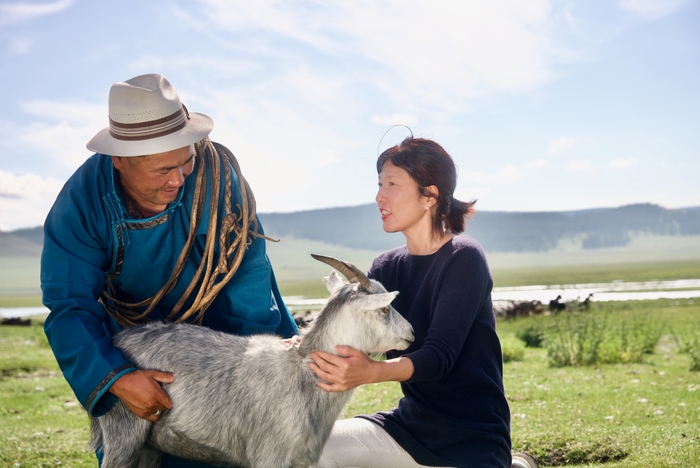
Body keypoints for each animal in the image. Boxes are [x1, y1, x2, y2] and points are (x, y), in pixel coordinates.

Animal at [89, 256, 412, 468]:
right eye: (385, 309)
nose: (411, 332)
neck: (302, 372)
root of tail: (121, 339)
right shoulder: (270, 455)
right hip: (124, 432)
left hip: (149, 446)